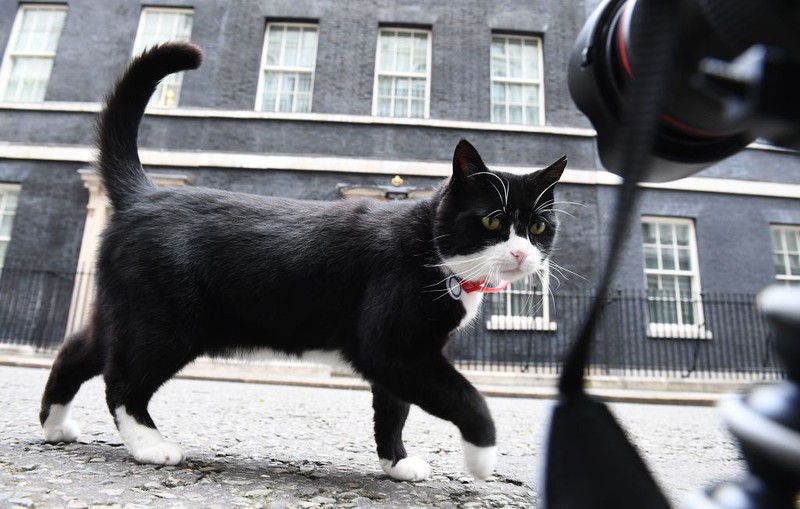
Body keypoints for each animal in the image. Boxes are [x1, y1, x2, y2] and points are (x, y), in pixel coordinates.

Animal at [37, 42, 564, 480]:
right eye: (493, 221)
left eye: (539, 228)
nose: (522, 252)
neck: (433, 253)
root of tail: (144, 194)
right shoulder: (393, 347)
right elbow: (465, 396)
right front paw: (482, 458)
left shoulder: (401, 358)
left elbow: (393, 410)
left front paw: (396, 463)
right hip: (167, 323)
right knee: (122, 380)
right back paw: (149, 445)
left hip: (125, 311)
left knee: (77, 351)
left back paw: (55, 425)